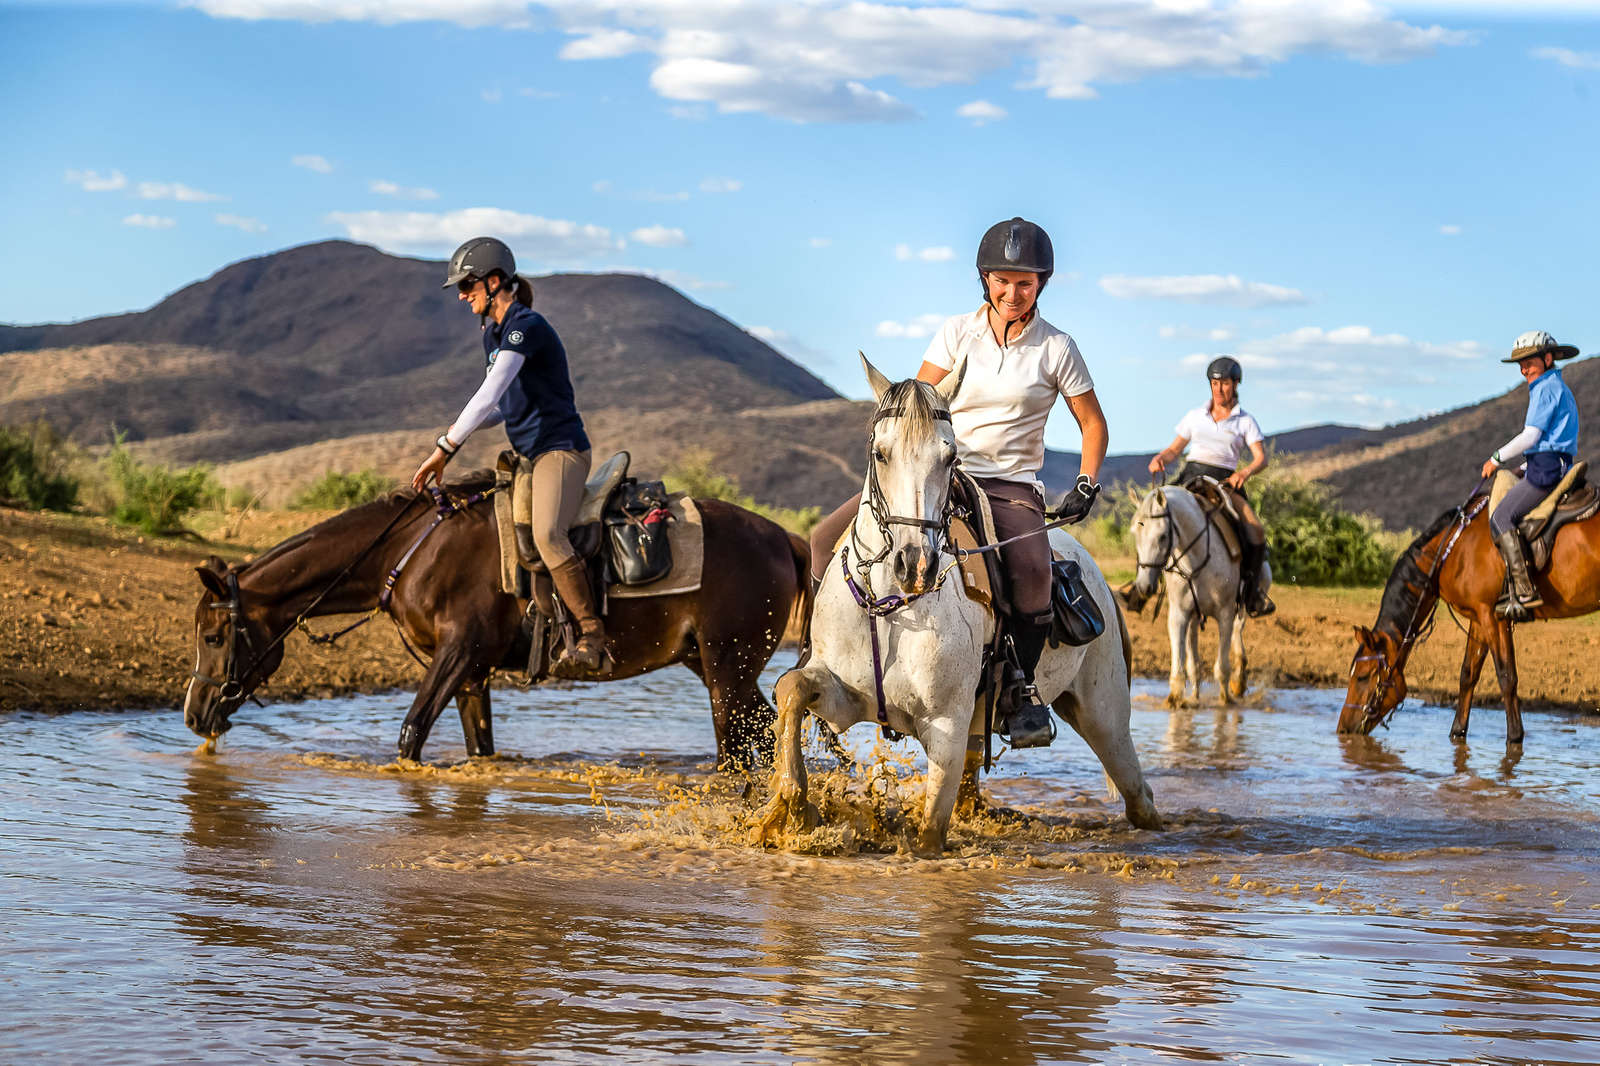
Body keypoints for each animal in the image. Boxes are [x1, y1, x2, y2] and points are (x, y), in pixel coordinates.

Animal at [184, 470, 812, 765]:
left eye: (214, 636)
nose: (194, 714)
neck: (409, 551)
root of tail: (784, 537)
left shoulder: (456, 654)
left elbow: (411, 735)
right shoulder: (472, 672)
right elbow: (477, 748)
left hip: (726, 669)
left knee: (738, 749)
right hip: (715, 667)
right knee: (764, 731)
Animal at [752, 356, 1164, 857]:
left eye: (950, 457)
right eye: (880, 453)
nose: (915, 564)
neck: (893, 606)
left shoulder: (945, 726)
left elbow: (930, 832)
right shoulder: (846, 698)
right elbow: (792, 688)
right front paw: (793, 809)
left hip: (1103, 714)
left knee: (1138, 793)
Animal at [1126, 483, 1260, 704]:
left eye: (1163, 536)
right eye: (1135, 534)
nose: (1144, 586)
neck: (1197, 560)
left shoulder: (1225, 614)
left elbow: (1222, 666)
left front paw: (1226, 699)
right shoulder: (1180, 614)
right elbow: (1181, 663)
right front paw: (1176, 699)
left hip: (1241, 606)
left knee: (1237, 632)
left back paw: (1238, 681)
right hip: (1196, 617)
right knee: (1194, 661)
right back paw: (1196, 695)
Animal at [1337, 489, 1600, 739]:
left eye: (1362, 676)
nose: (1343, 729)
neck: (1454, 548)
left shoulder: (1493, 617)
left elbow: (1507, 676)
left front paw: (1515, 738)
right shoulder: (1478, 619)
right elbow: (1468, 675)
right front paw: (1457, 733)